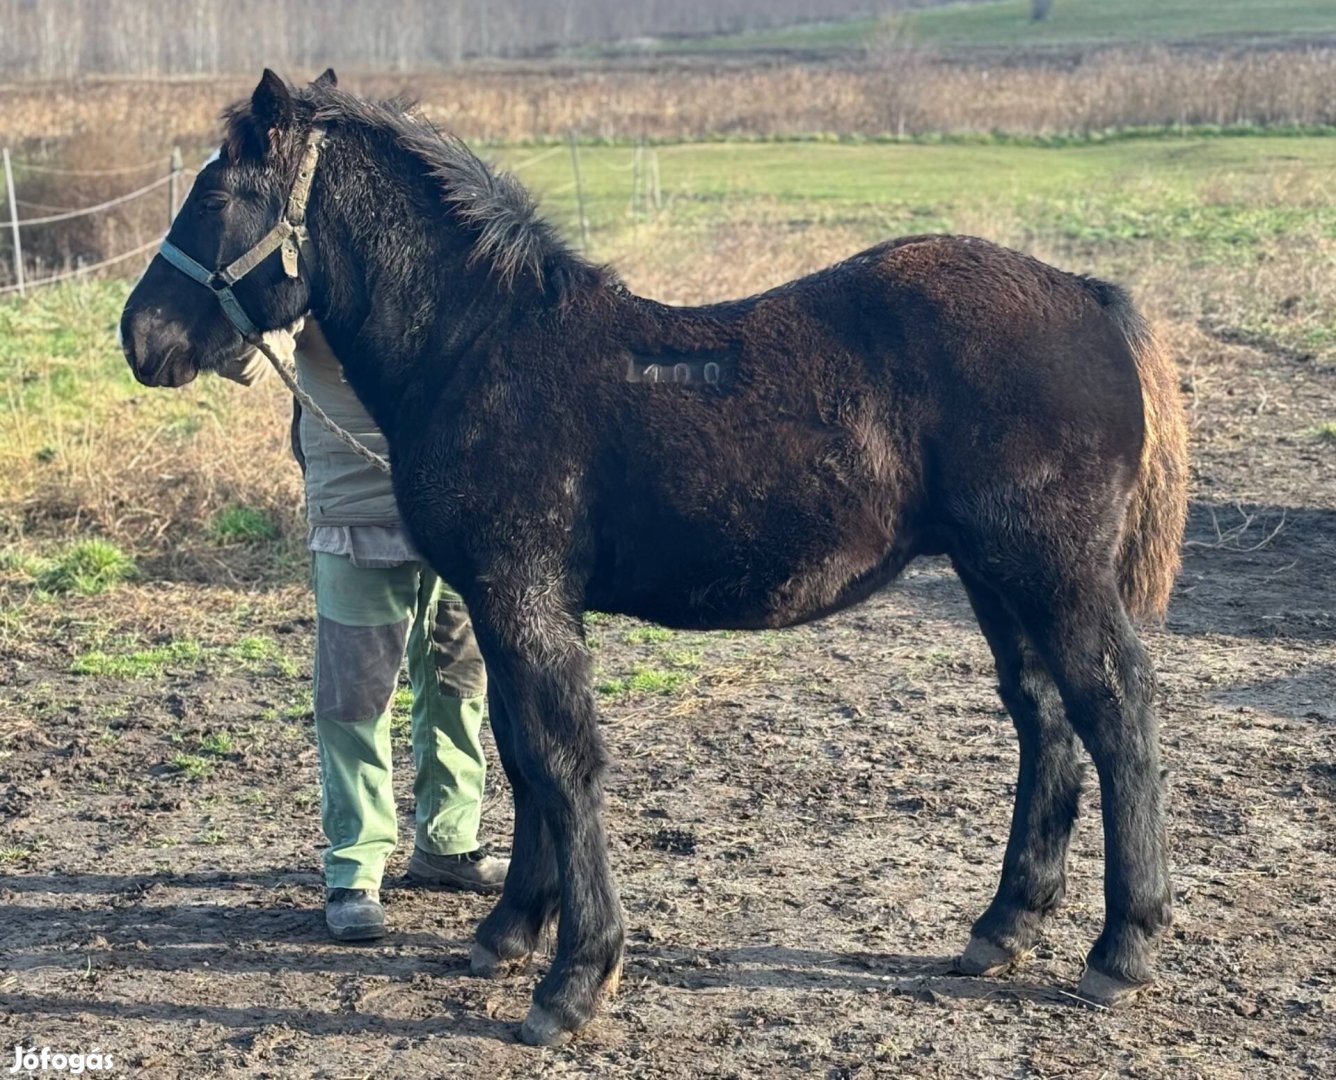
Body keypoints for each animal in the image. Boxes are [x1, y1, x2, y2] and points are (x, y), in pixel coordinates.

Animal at [122, 69, 1191, 1047]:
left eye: (215, 197)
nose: (139, 336)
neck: (479, 352)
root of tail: (1090, 296)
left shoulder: (523, 598)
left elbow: (562, 760)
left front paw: (574, 978)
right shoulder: (505, 605)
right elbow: (521, 755)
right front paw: (510, 930)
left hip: (1053, 570)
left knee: (1114, 706)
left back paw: (1121, 948)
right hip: (993, 574)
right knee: (1042, 714)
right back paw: (1003, 925)